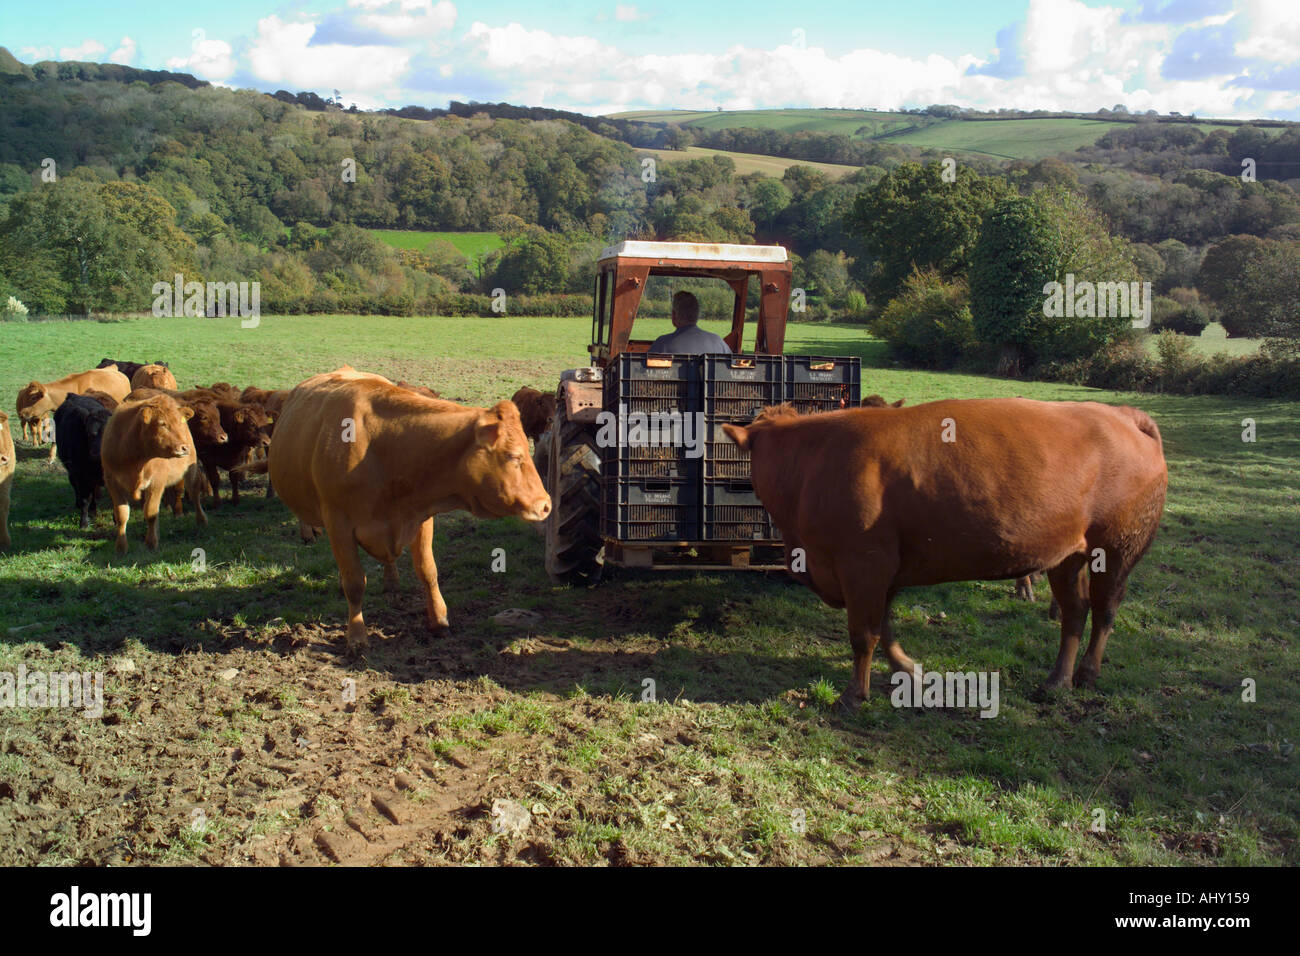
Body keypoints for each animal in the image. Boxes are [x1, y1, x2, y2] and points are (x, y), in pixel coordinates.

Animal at [53, 394, 112, 528]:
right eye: (90, 434)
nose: (97, 452)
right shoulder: (81, 475)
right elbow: (85, 499)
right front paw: (84, 523)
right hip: (71, 471)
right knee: (76, 487)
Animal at [101, 393, 208, 553]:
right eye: (162, 423)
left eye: (179, 422)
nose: (184, 447)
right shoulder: (112, 482)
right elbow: (122, 514)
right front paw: (121, 547)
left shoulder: (157, 482)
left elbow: (151, 512)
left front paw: (151, 543)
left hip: (191, 470)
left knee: (194, 493)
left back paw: (201, 520)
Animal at [255, 367, 550, 654]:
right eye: (513, 456)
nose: (546, 504)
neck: (383, 447)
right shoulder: (338, 523)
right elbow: (355, 583)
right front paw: (357, 637)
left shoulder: (421, 518)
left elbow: (428, 572)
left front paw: (439, 620)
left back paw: (391, 581)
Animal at [722, 398, 1167, 708]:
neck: (810, 463)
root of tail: (1121, 415)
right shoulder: (884, 569)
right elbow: (884, 628)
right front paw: (908, 667)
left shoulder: (864, 564)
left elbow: (863, 634)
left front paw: (854, 695)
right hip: (1065, 557)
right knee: (1075, 612)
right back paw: (1056, 680)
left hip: (1116, 549)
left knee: (1105, 609)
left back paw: (1088, 672)